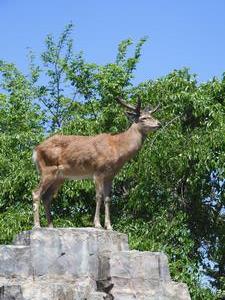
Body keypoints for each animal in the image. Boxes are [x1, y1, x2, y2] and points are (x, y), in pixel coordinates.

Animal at [31, 96, 161, 230]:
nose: (159, 124)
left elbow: (108, 198)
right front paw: (97, 224)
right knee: (36, 193)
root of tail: (36, 150)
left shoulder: (110, 175)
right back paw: (37, 225)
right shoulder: (98, 171)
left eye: (151, 115)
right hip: (47, 169)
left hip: (59, 177)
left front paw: (109, 226)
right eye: (143, 118)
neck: (117, 148)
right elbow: (98, 196)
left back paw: (51, 226)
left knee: (47, 197)